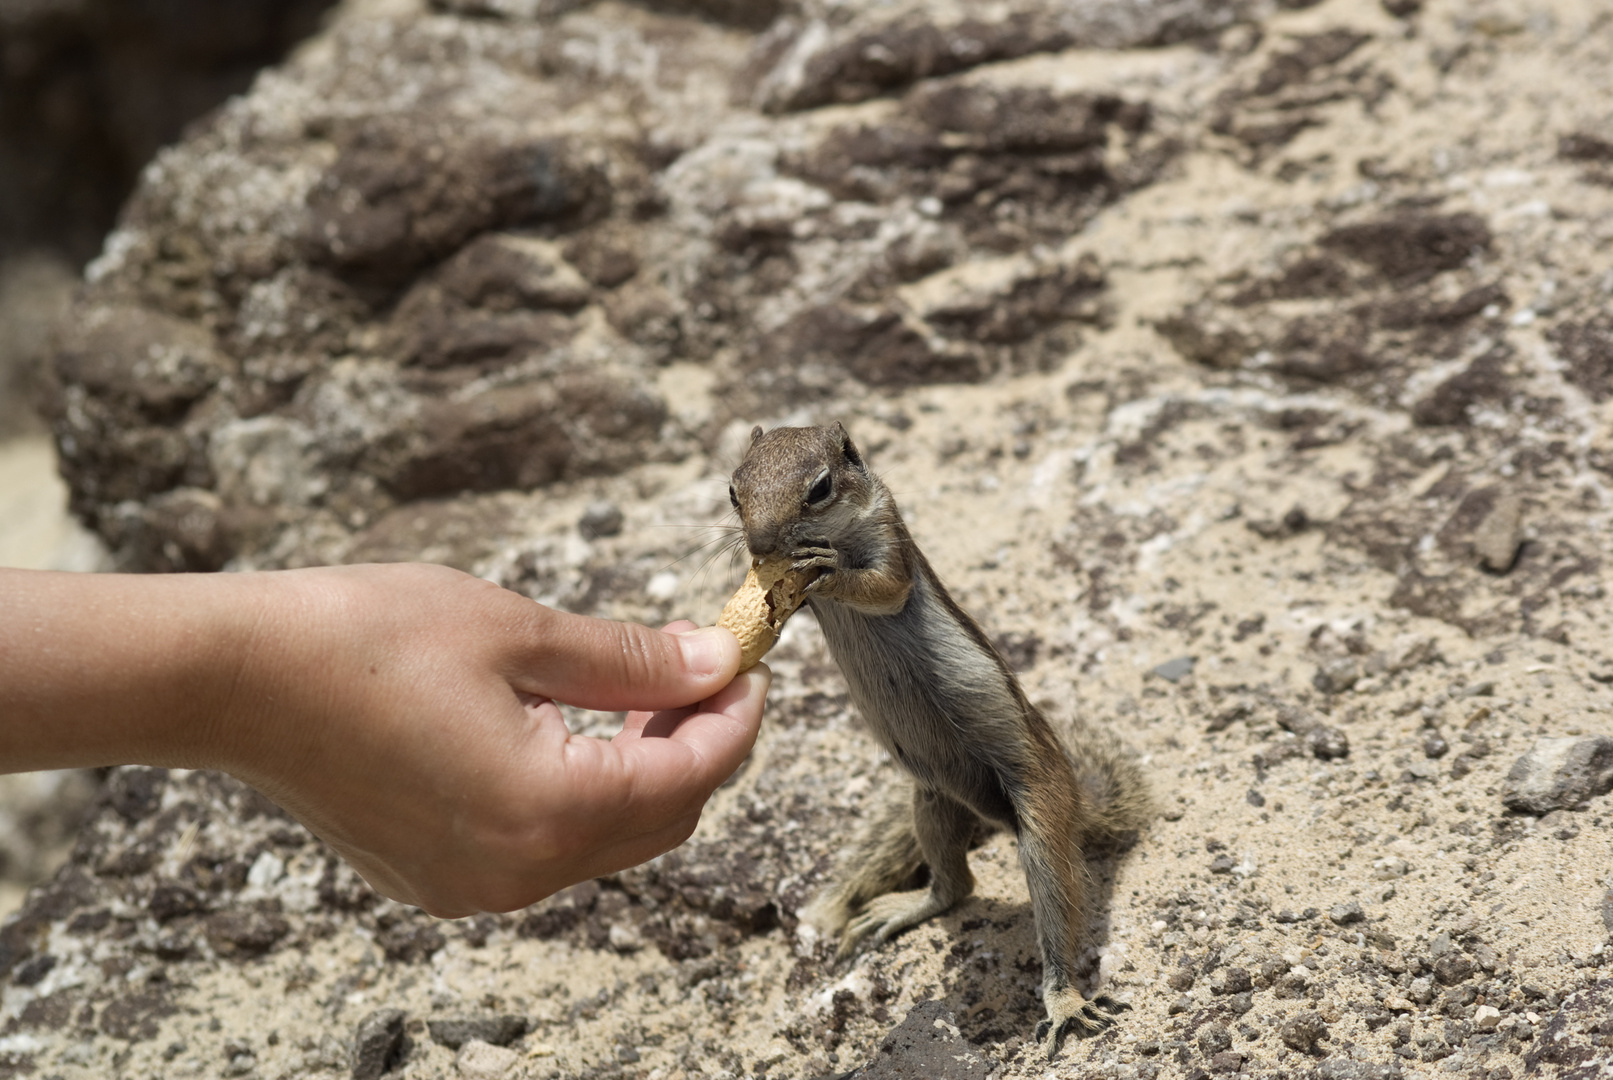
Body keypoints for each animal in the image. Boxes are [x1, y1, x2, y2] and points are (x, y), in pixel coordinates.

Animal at [725, 425, 1154, 1063]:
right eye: (734, 492)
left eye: (819, 488)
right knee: (957, 887)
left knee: (1053, 897)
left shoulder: (890, 544)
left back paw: (1065, 1001)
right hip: (934, 802)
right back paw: (907, 907)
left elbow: (882, 585)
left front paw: (829, 565)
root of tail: (1077, 797)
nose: (758, 543)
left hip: (1041, 808)